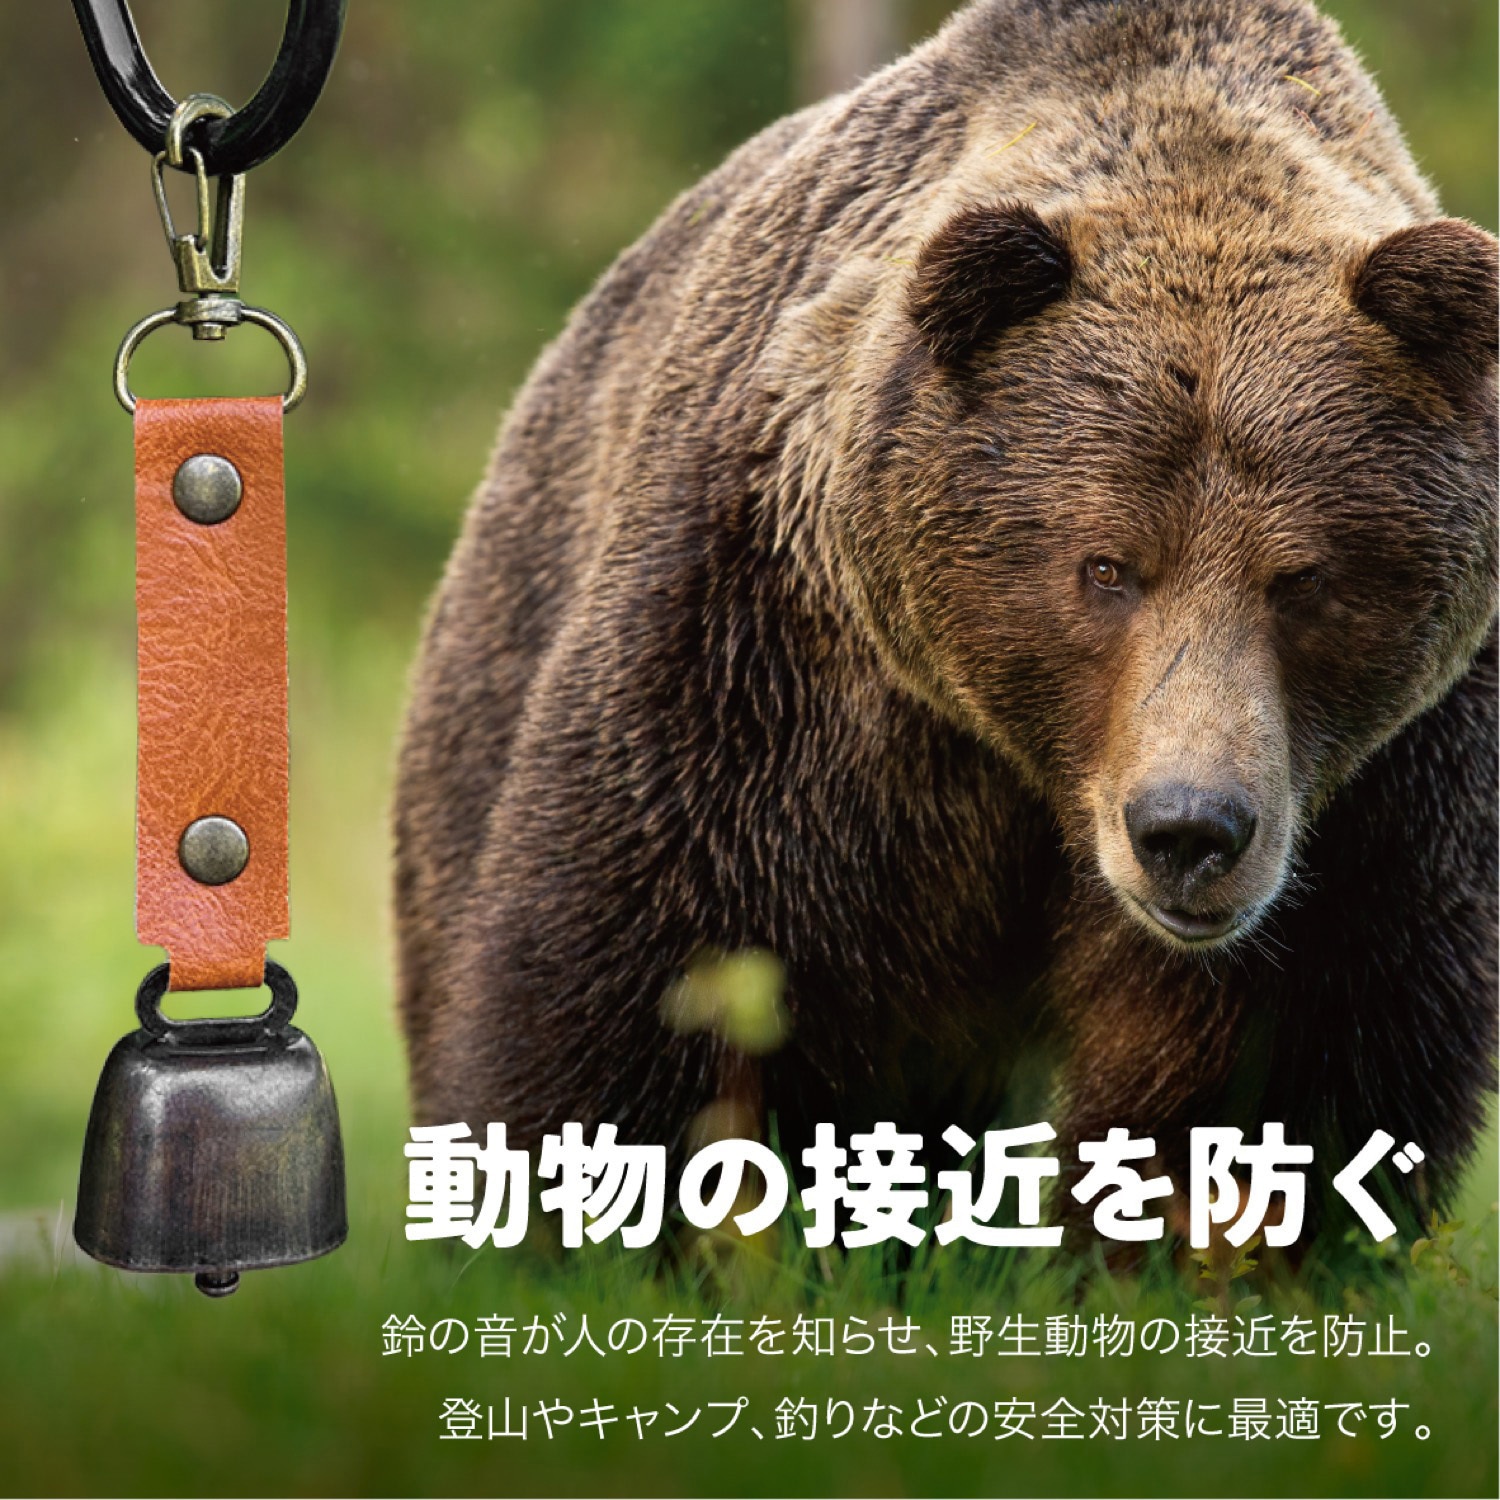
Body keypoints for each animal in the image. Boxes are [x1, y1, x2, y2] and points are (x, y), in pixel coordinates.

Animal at [393, 0, 1498, 1238]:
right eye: (1107, 567)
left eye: (1300, 579)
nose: (1189, 829)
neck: (1032, 770)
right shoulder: (771, 667)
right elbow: (644, 984)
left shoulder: (1380, 795)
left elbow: (1283, 1073)